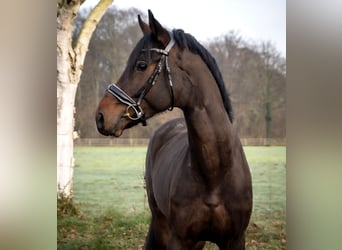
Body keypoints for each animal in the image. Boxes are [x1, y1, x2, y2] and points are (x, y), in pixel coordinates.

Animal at [95, 10, 252, 250]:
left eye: (141, 65)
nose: (100, 116)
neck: (214, 174)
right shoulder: (179, 238)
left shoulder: (234, 240)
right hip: (161, 223)